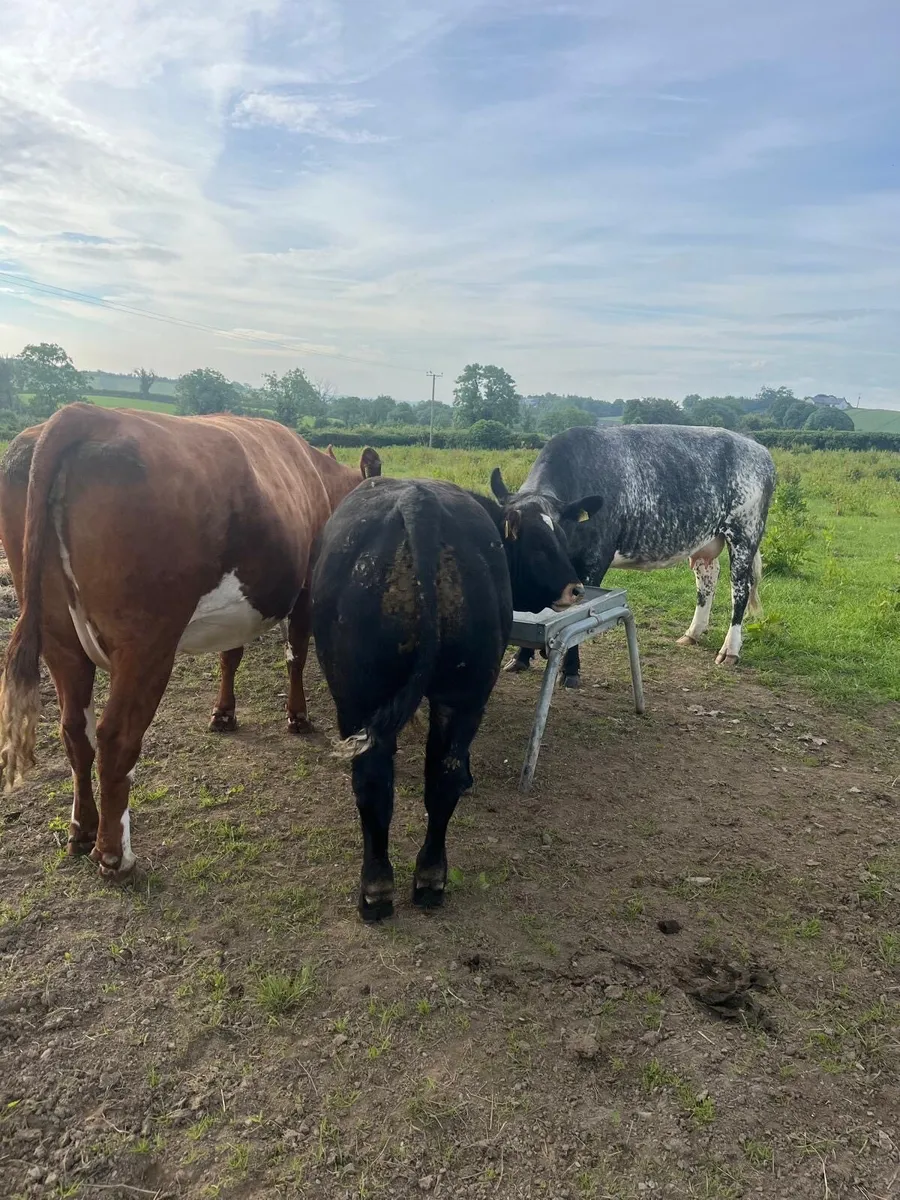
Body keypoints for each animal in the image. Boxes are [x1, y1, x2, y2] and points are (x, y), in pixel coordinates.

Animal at [0, 403, 380, 880]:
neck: (321, 478)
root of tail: (86, 413)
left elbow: (231, 654)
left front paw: (224, 714)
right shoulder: (306, 588)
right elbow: (295, 653)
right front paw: (297, 717)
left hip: (58, 638)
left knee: (75, 731)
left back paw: (81, 831)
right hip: (146, 643)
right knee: (115, 737)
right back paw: (114, 855)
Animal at [311, 475, 584, 921]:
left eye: (562, 535)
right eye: (541, 544)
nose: (576, 588)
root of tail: (419, 502)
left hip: (358, 699)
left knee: (374, 784)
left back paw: (376, 891)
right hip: (461, 694)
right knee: (442, 779)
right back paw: (429, 879)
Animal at [491, 424, 776, 687]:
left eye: (555, 537)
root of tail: (757, 447)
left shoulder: (595, 560)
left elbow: (578, 615)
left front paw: (570, 671)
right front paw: (521, 658)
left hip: (744, 533)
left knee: (740, 589)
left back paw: (730, 650)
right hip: (707, 541)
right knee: (707, 579)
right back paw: (693, 633)